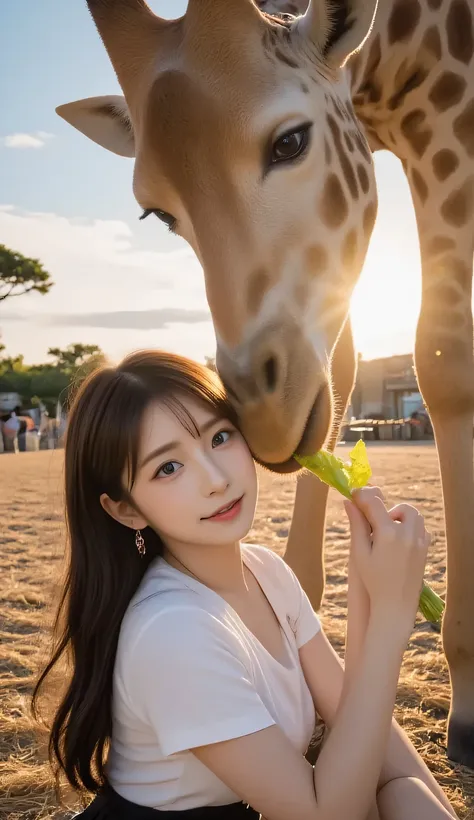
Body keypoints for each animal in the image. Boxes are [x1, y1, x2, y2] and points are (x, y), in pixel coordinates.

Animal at [56, 0, 474, 768]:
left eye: (291, 141)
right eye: (158, 211)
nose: (267, 420)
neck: (413, 41)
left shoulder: (444, 118)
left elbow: (443, 356)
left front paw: (468, 701)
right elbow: (342, 366)